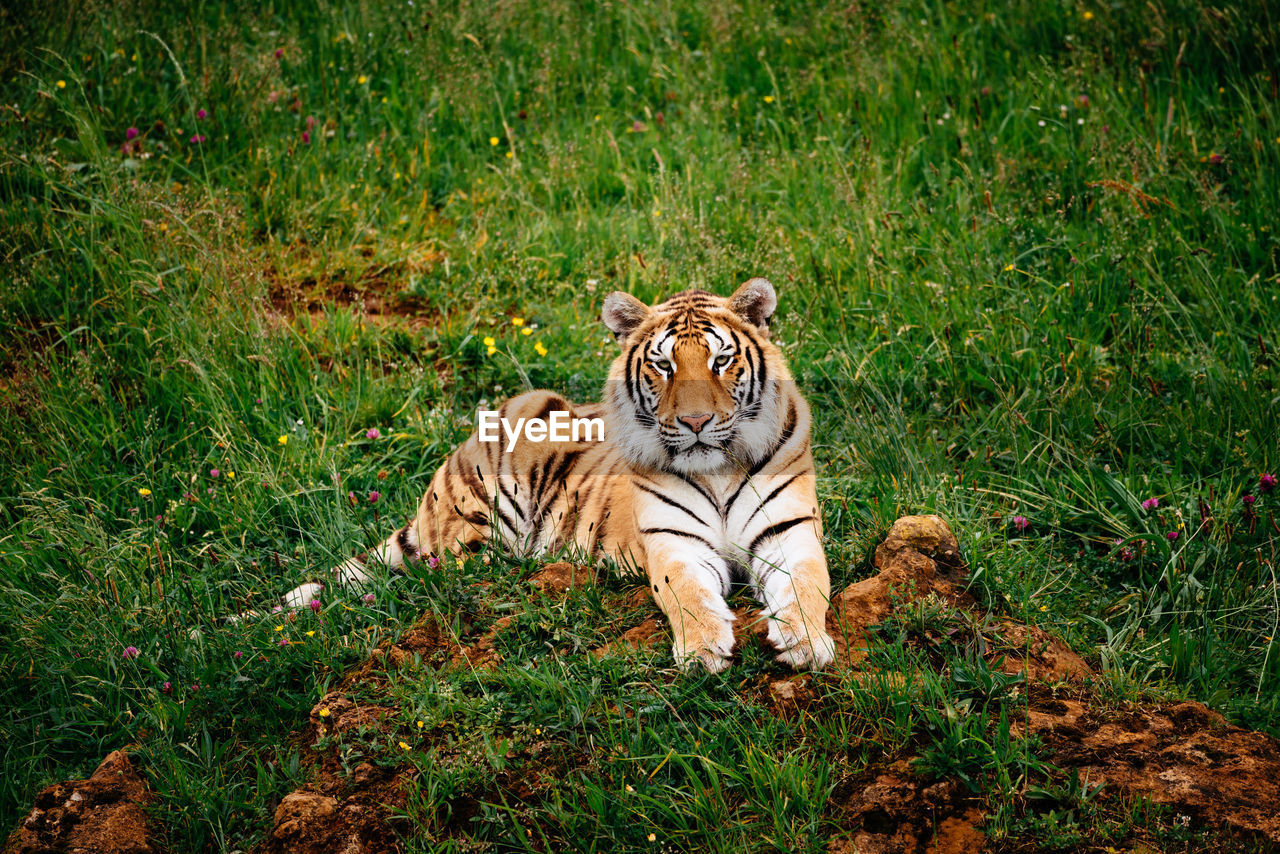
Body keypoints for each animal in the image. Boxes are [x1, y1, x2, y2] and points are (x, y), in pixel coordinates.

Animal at [275, 280, 834, 676]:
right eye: (662, 365)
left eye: (721, 360)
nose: (695, 422)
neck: (715, 469)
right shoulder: (675, 543)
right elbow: (688, 596)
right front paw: (702, 651)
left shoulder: (789, 533)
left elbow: (808, 586)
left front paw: (806, 643)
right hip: (482, 521)